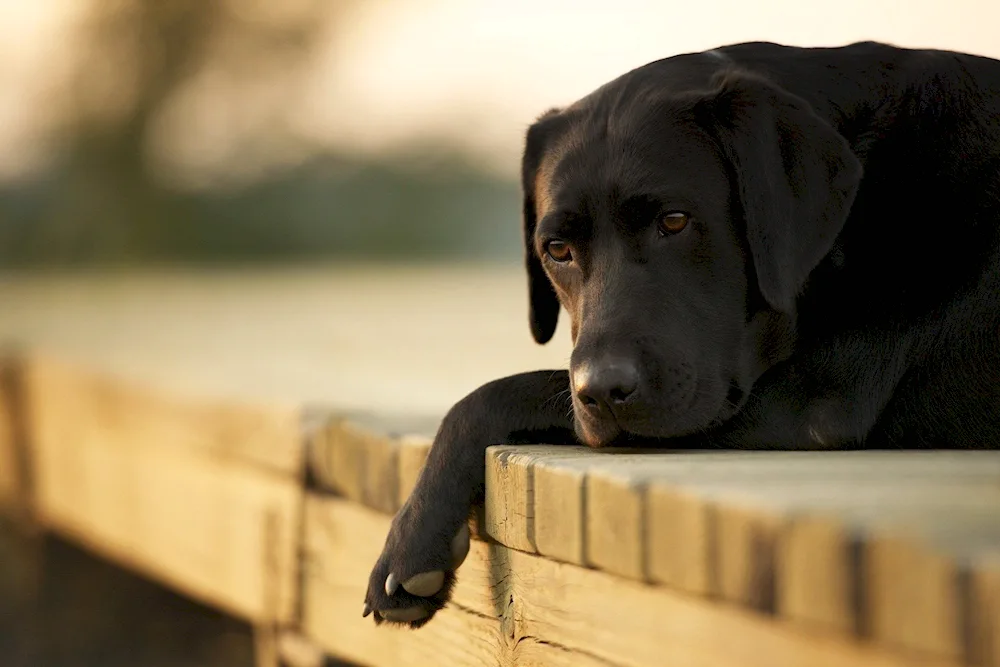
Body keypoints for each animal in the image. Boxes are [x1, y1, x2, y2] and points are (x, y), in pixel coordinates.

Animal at [364, 40, 1000, 628]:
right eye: (557, 249)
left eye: (674, 221)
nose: (602, 391)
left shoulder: (813, 402)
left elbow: (492, 392)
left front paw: (411, 540)